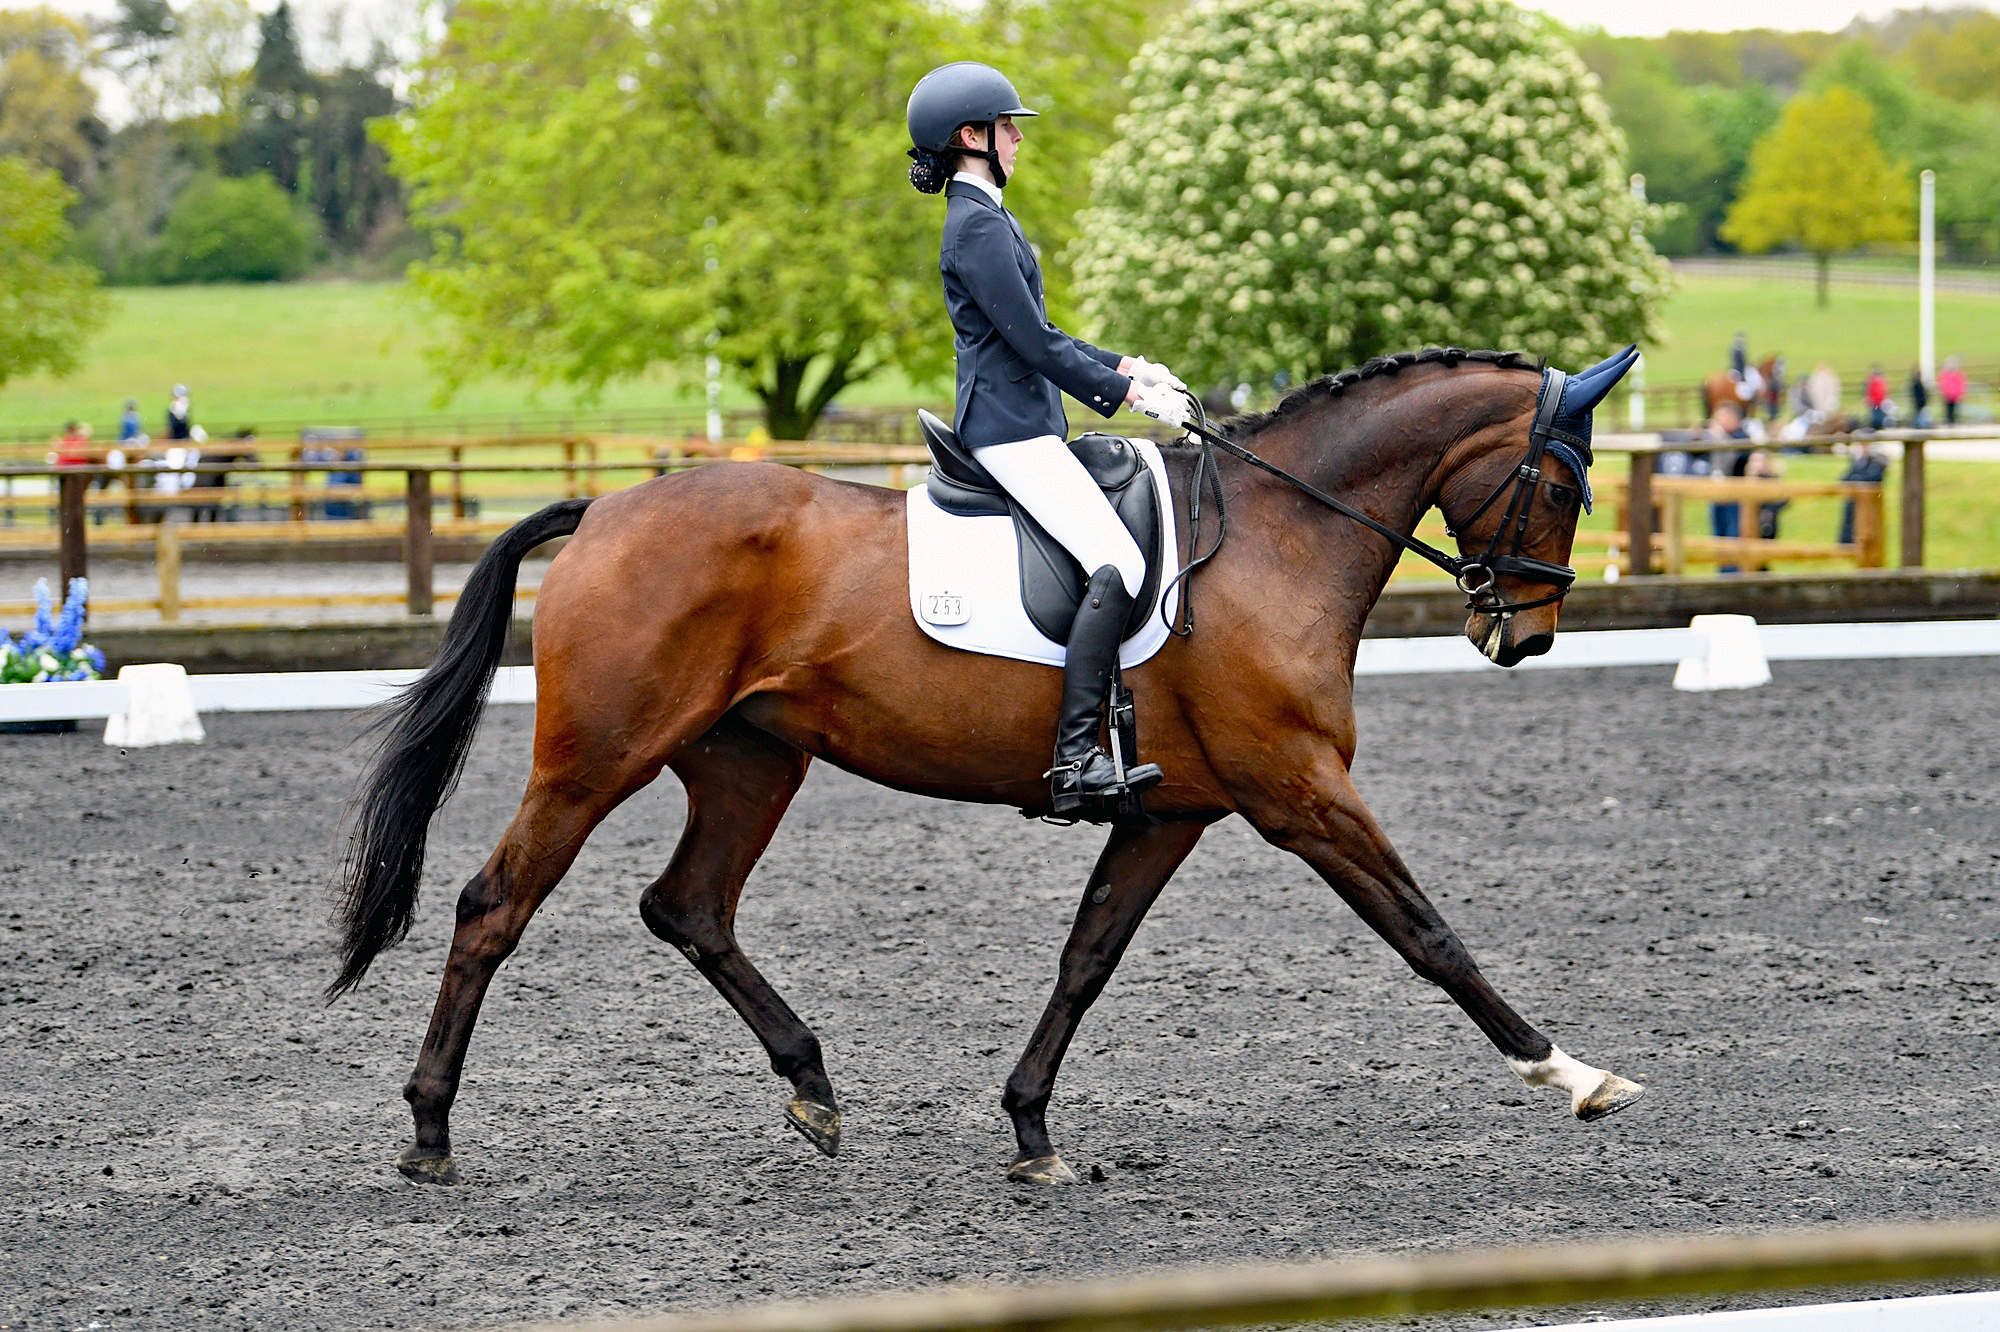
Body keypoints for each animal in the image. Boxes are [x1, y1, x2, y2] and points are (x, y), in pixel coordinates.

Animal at [330, 345, 1645, 1187]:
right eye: (1563, 481)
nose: (1522, 637)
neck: (1281, 538)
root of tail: (603, 511)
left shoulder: (1172, 814)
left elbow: (1084, 961)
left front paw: (1029, 1132)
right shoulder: (1299, 794)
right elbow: (1428, 935)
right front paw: (1569, 1071)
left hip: (748, 763)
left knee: (688, 907)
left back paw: (813, 1089)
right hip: (597, 758)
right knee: (495, 904)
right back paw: (431, 1134)